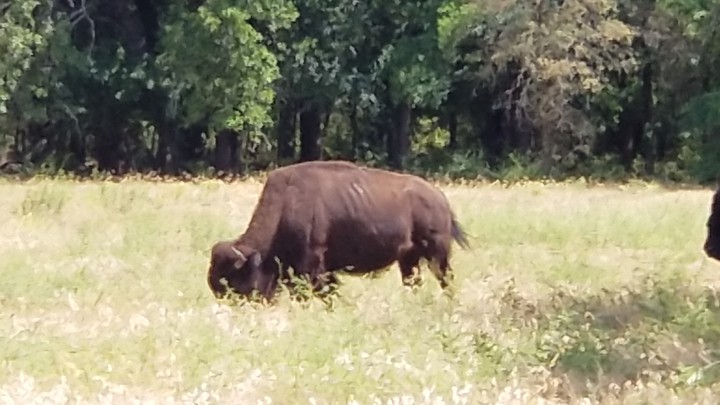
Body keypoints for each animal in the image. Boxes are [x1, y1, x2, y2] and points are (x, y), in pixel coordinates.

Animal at [207, 160, 470, 301]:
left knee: (446, 279)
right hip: (408, 258)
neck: (286, 204)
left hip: (437, 254)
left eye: (236, 282)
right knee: (413, 281)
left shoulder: (312, 265)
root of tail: (440, 199)